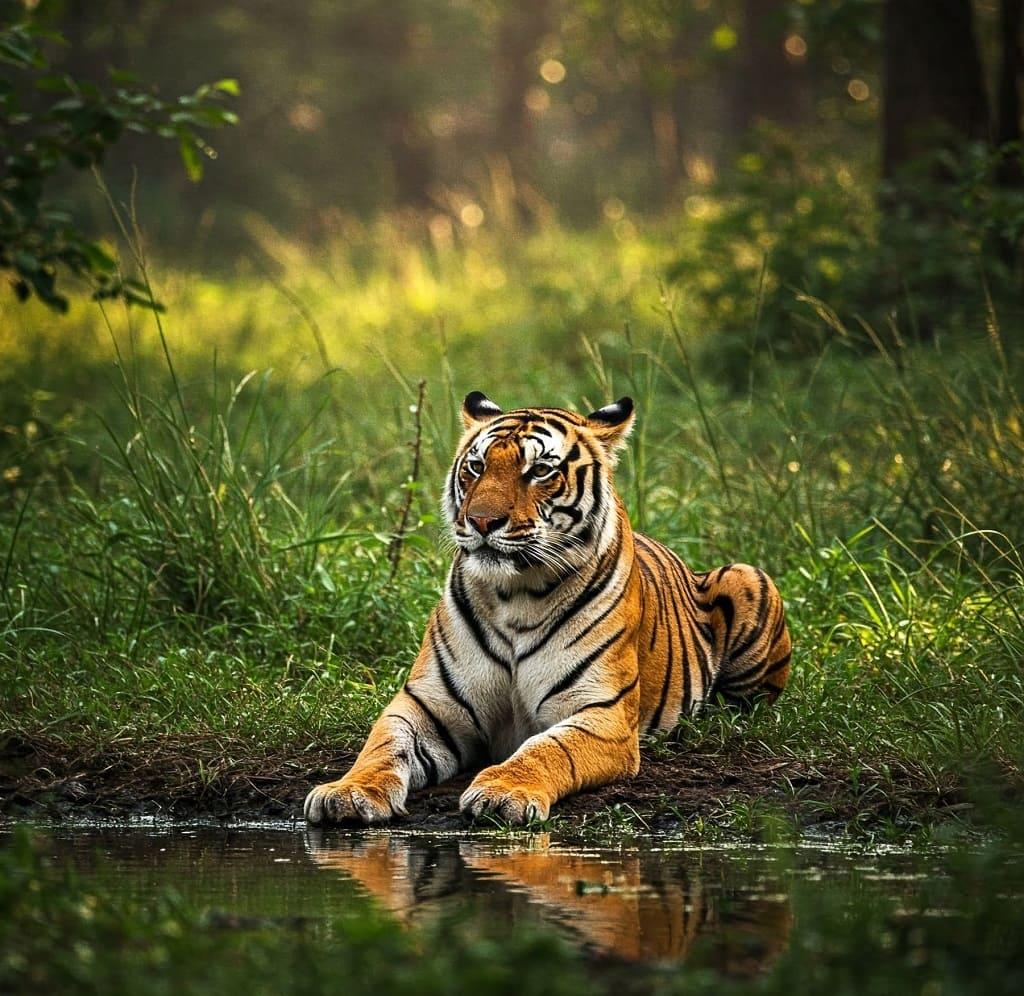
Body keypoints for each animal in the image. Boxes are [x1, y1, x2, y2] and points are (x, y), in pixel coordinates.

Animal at [304, 392, 792, 826]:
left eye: (539, 470)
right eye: (477, 466)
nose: (481, 521)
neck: (514, 595)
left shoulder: (601, 713)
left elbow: (548, 749)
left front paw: (503, 792)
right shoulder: (426, 706)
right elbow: (382, 747)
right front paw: (347, 793)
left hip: (748, 577)